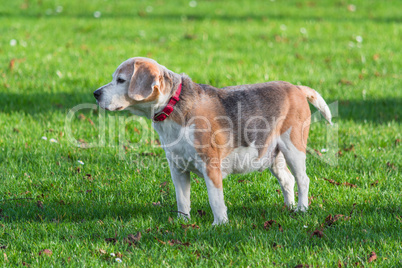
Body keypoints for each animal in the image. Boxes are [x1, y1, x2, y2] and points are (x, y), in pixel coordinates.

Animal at [92, 57, 332, 225]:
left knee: (303, 180)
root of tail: (297, 88)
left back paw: (301, 209)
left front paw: (220, 224)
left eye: (121, 80)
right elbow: (182, 199)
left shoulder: (210, 166)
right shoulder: (177, 169)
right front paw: (182, 222)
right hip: (272, 156)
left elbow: (215, 199)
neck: (173, 104)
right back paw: (289, 207)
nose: (95, 93)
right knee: (288, 180)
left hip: (293, 149)